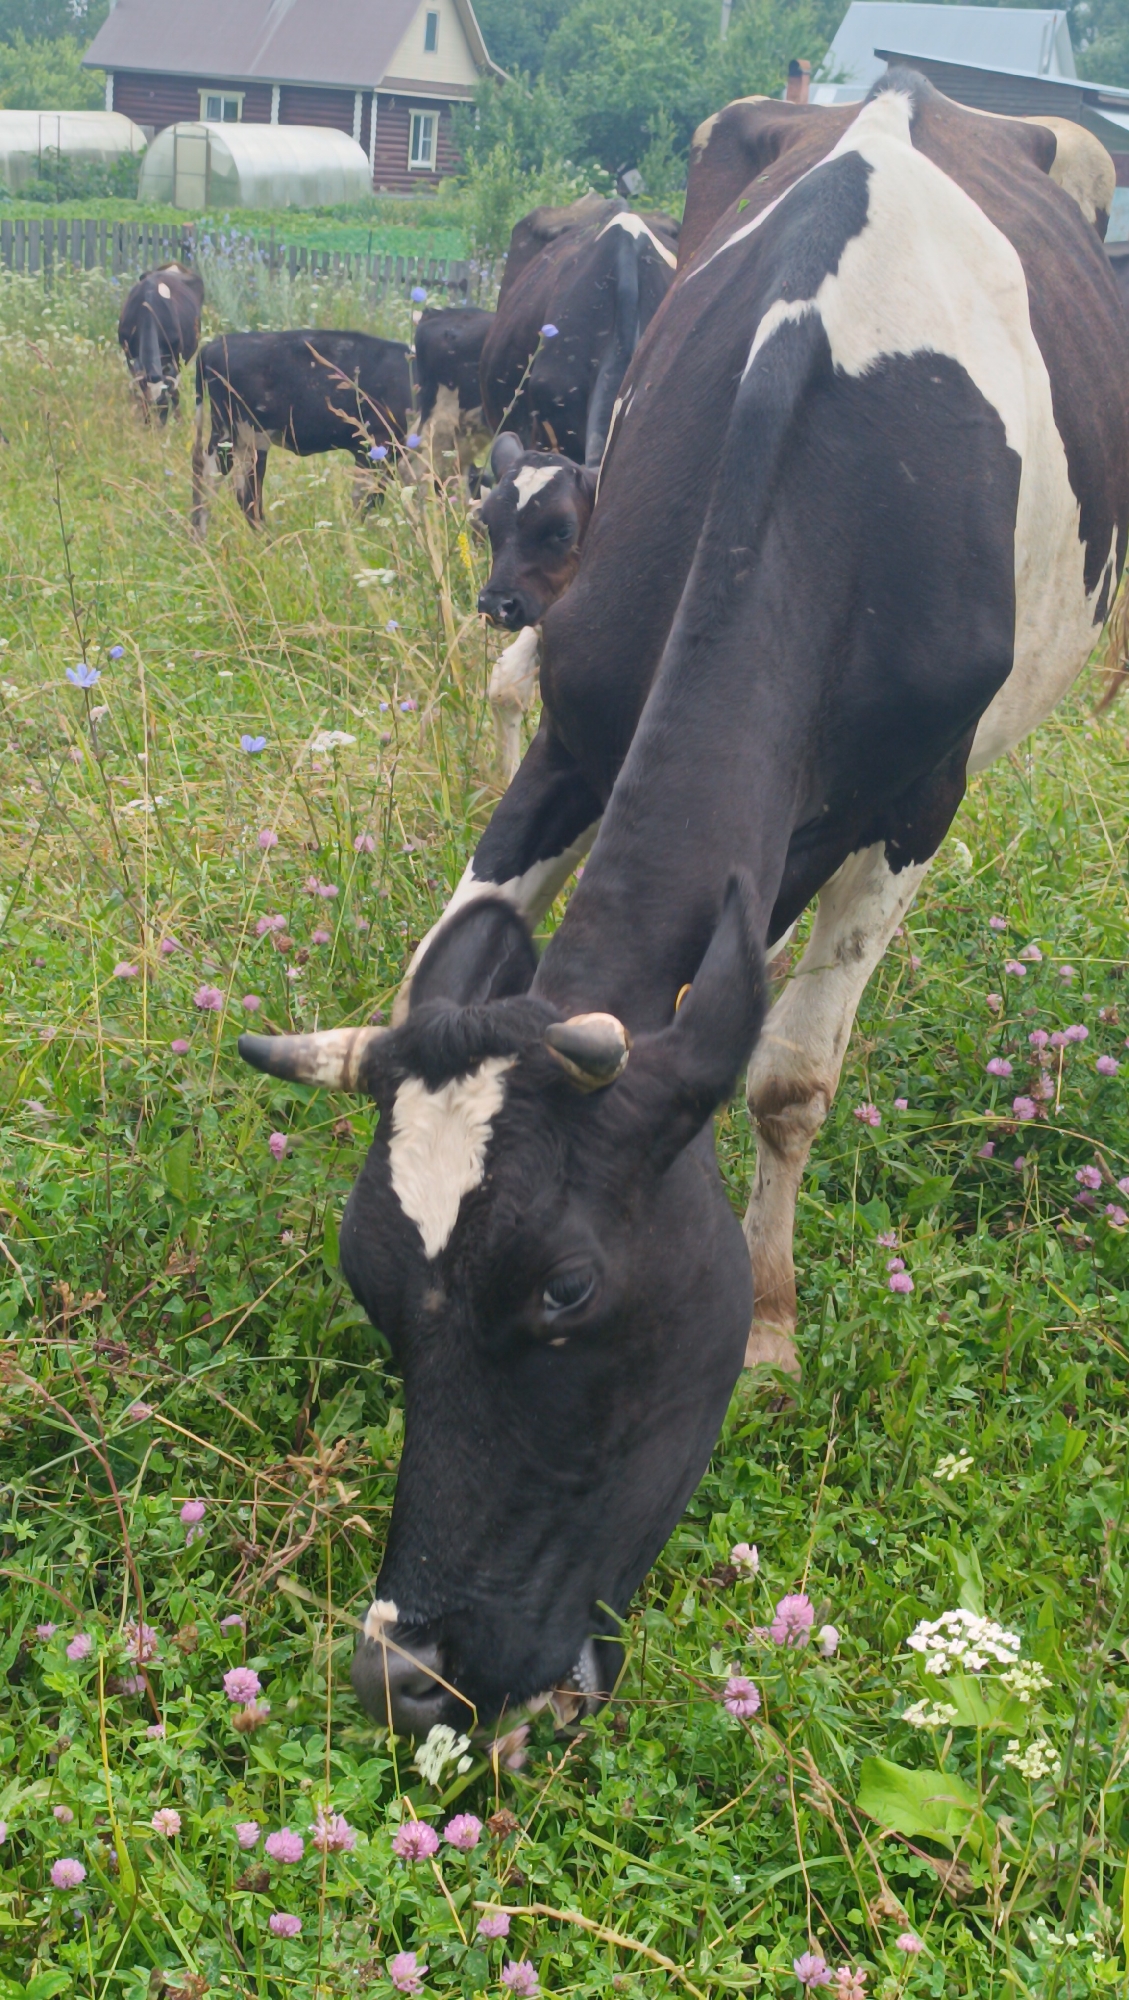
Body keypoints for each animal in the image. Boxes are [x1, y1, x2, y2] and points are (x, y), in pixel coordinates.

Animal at [118, 262, 204, 423]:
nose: (158, 425)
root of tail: (174, 265)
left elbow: (175, 393)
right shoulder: (129, 357)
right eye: (148, 403)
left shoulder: (174, 360)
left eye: (164, 404)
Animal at [190, 329, 410, 536]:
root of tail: (213, 346)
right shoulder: (376, 445)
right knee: (239, 492)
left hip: (232, 437)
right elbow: (367, 498)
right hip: (246, 437)